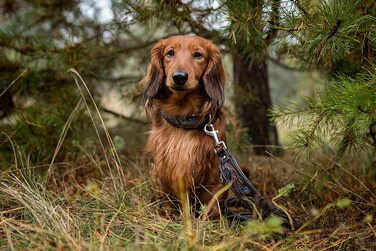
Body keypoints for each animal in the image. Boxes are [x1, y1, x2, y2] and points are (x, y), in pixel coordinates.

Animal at [141, 34, 226, 217]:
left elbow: (211, 207)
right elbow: (168, 202)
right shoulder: (163, 171)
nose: (179, 77)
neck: (183, 117)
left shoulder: (215, 178)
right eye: (170, 53)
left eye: (198, 55)